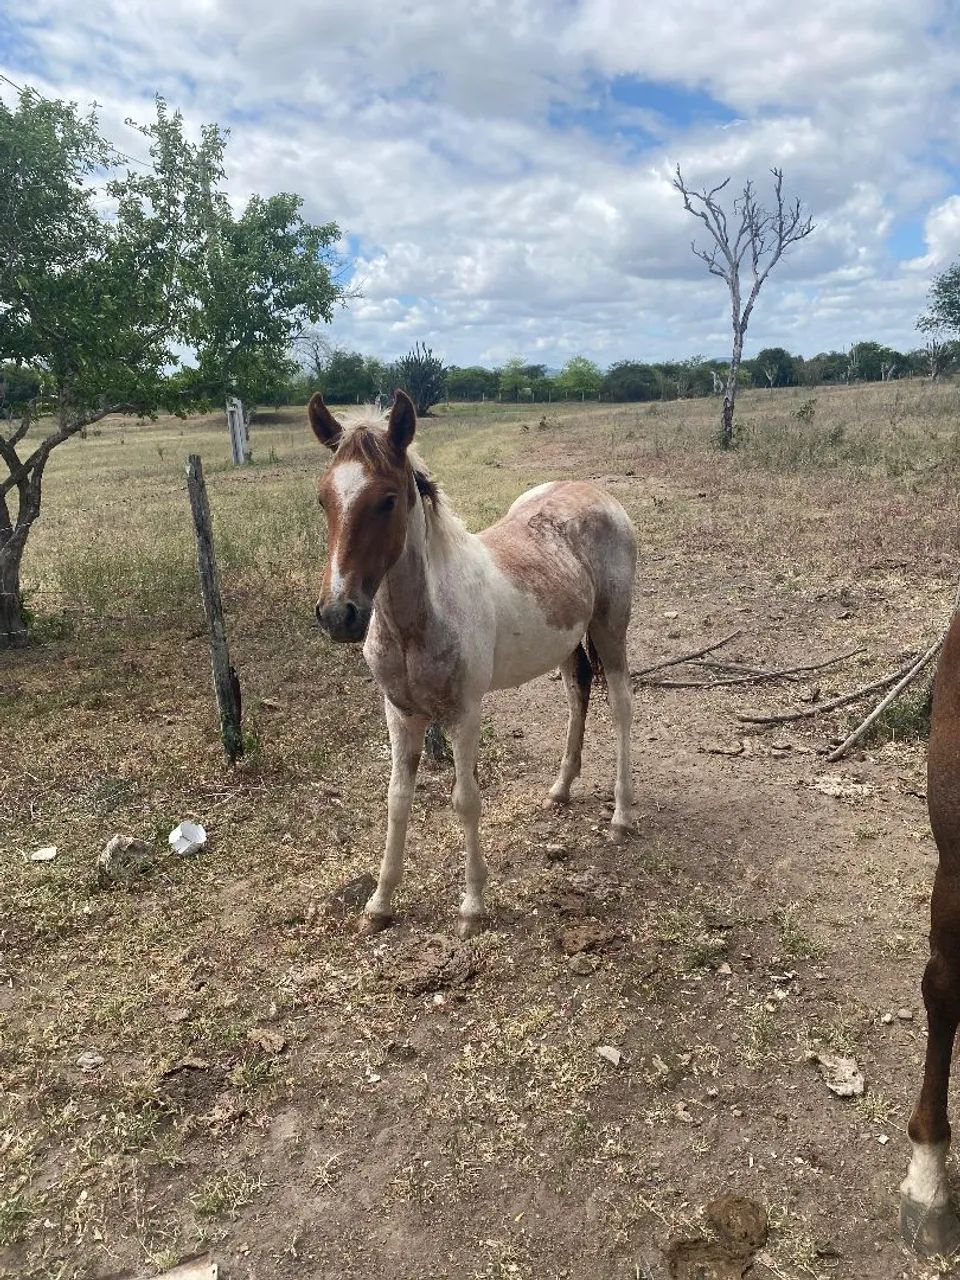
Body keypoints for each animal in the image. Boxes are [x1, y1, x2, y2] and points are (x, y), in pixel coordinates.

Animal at [309, 389, 638, 938]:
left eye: (387, 500)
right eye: (323, 498)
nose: (339, 615)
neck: (417, 622)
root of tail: (596, 493)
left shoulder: (465, 713)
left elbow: (465, 801)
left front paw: (473, 904)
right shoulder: (400, 713)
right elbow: (397, 800)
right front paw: (380, 903)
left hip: (611, 630)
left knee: (621, 707)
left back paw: (621, 816)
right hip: (568, 644)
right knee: (578, 694)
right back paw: (560, 790)